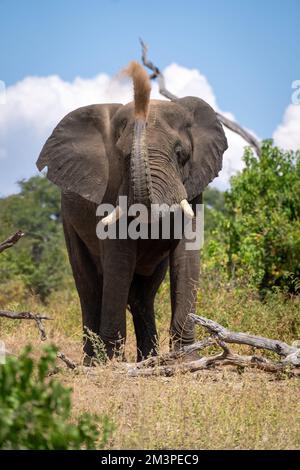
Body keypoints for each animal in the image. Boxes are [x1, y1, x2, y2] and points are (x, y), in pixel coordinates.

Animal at [36, 62, 226, 362]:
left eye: (180, 153)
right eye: (123, 156)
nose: (137, 77)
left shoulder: (194, 187)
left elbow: (187, 256)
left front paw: (186, 359)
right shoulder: (110, 189)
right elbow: (119, 257)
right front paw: (113, 363)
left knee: (142, 294)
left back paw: (148, 359)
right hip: (67, 219)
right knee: (90, 287)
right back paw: (94, 362)